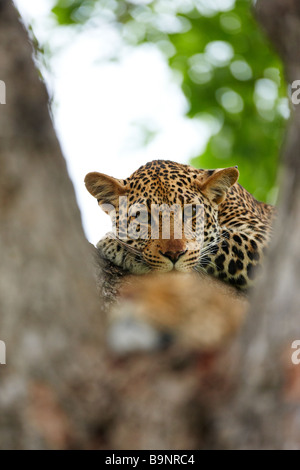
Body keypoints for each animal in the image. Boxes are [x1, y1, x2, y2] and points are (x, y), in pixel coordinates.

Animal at [84, 160, 276, 292]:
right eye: (144, 217)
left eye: (191, 212)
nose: (174, 254)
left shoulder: (266, 237)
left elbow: (223, 240)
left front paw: (115, 244)